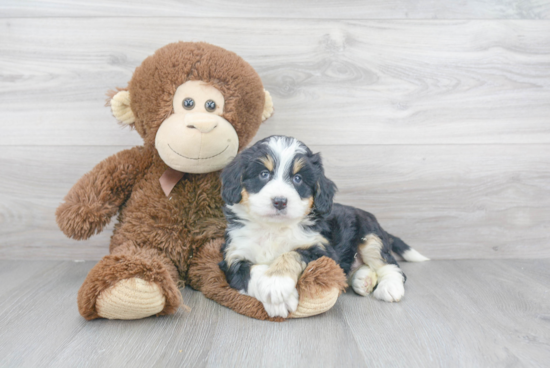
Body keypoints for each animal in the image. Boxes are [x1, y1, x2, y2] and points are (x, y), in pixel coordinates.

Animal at [220, 135, 432, 316]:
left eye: (298, 179)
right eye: (264, 174)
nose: (280, 201)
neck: (273, 228)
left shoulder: (321, 250)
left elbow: (292, 253)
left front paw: (276, 283)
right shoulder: (232, 257)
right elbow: (251, 271)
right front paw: (278, 297)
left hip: (370, 235)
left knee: (391, 266)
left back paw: (389, 287)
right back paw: (363, 279)